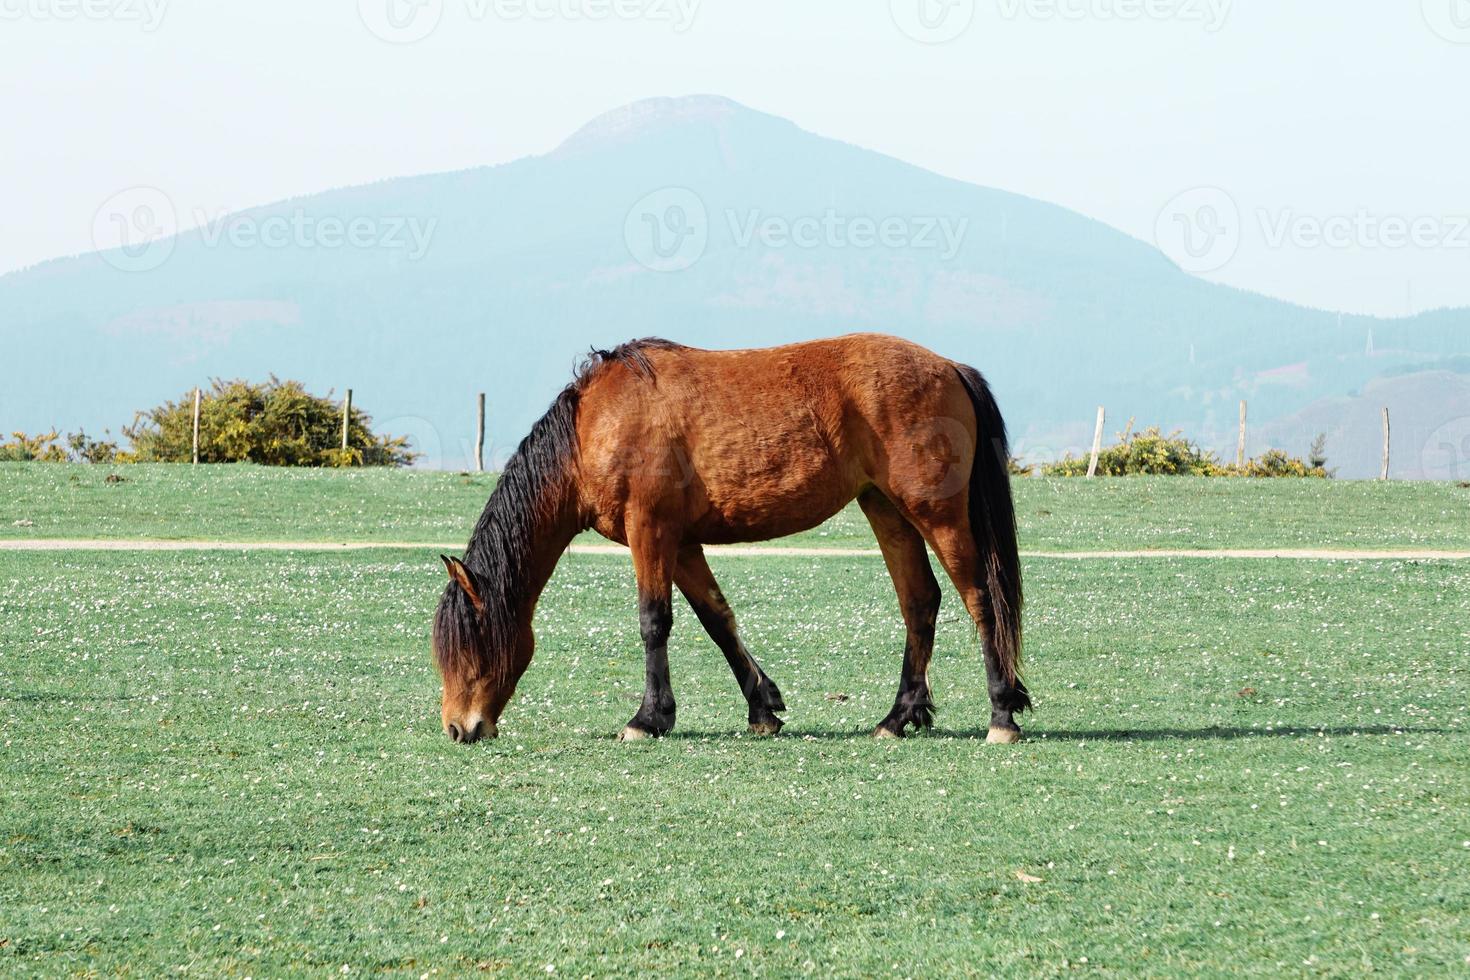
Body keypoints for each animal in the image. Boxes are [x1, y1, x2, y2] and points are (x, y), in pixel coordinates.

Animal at [435, 334, 1029, 743]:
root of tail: (950, 367)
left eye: (470, 641)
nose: (460, 729)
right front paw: (763, 707)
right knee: (920, 602)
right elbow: (718, 619)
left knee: (980, 599)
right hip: (886, 509)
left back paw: (1001, 714)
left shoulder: (650, 531)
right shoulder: (681, 543)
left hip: (937, 515)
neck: (596, 425)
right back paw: (898, 716)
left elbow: (654, 622)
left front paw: (648, 719)